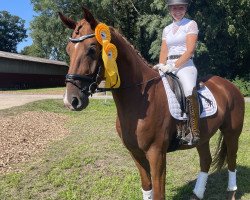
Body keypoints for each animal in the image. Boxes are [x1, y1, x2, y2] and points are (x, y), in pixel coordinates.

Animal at [60, 8, 244, 200]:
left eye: (91, 49)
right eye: (68, 50)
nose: (71, 100)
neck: (138, 101)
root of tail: (230, 86)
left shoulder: (156, 154)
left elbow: (158, 192)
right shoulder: (135, 153)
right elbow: (147, 187)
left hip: (232, 132)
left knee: (232, 160)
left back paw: (231, 193)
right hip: (203, 137)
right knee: (206, 160)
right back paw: (197, 195)